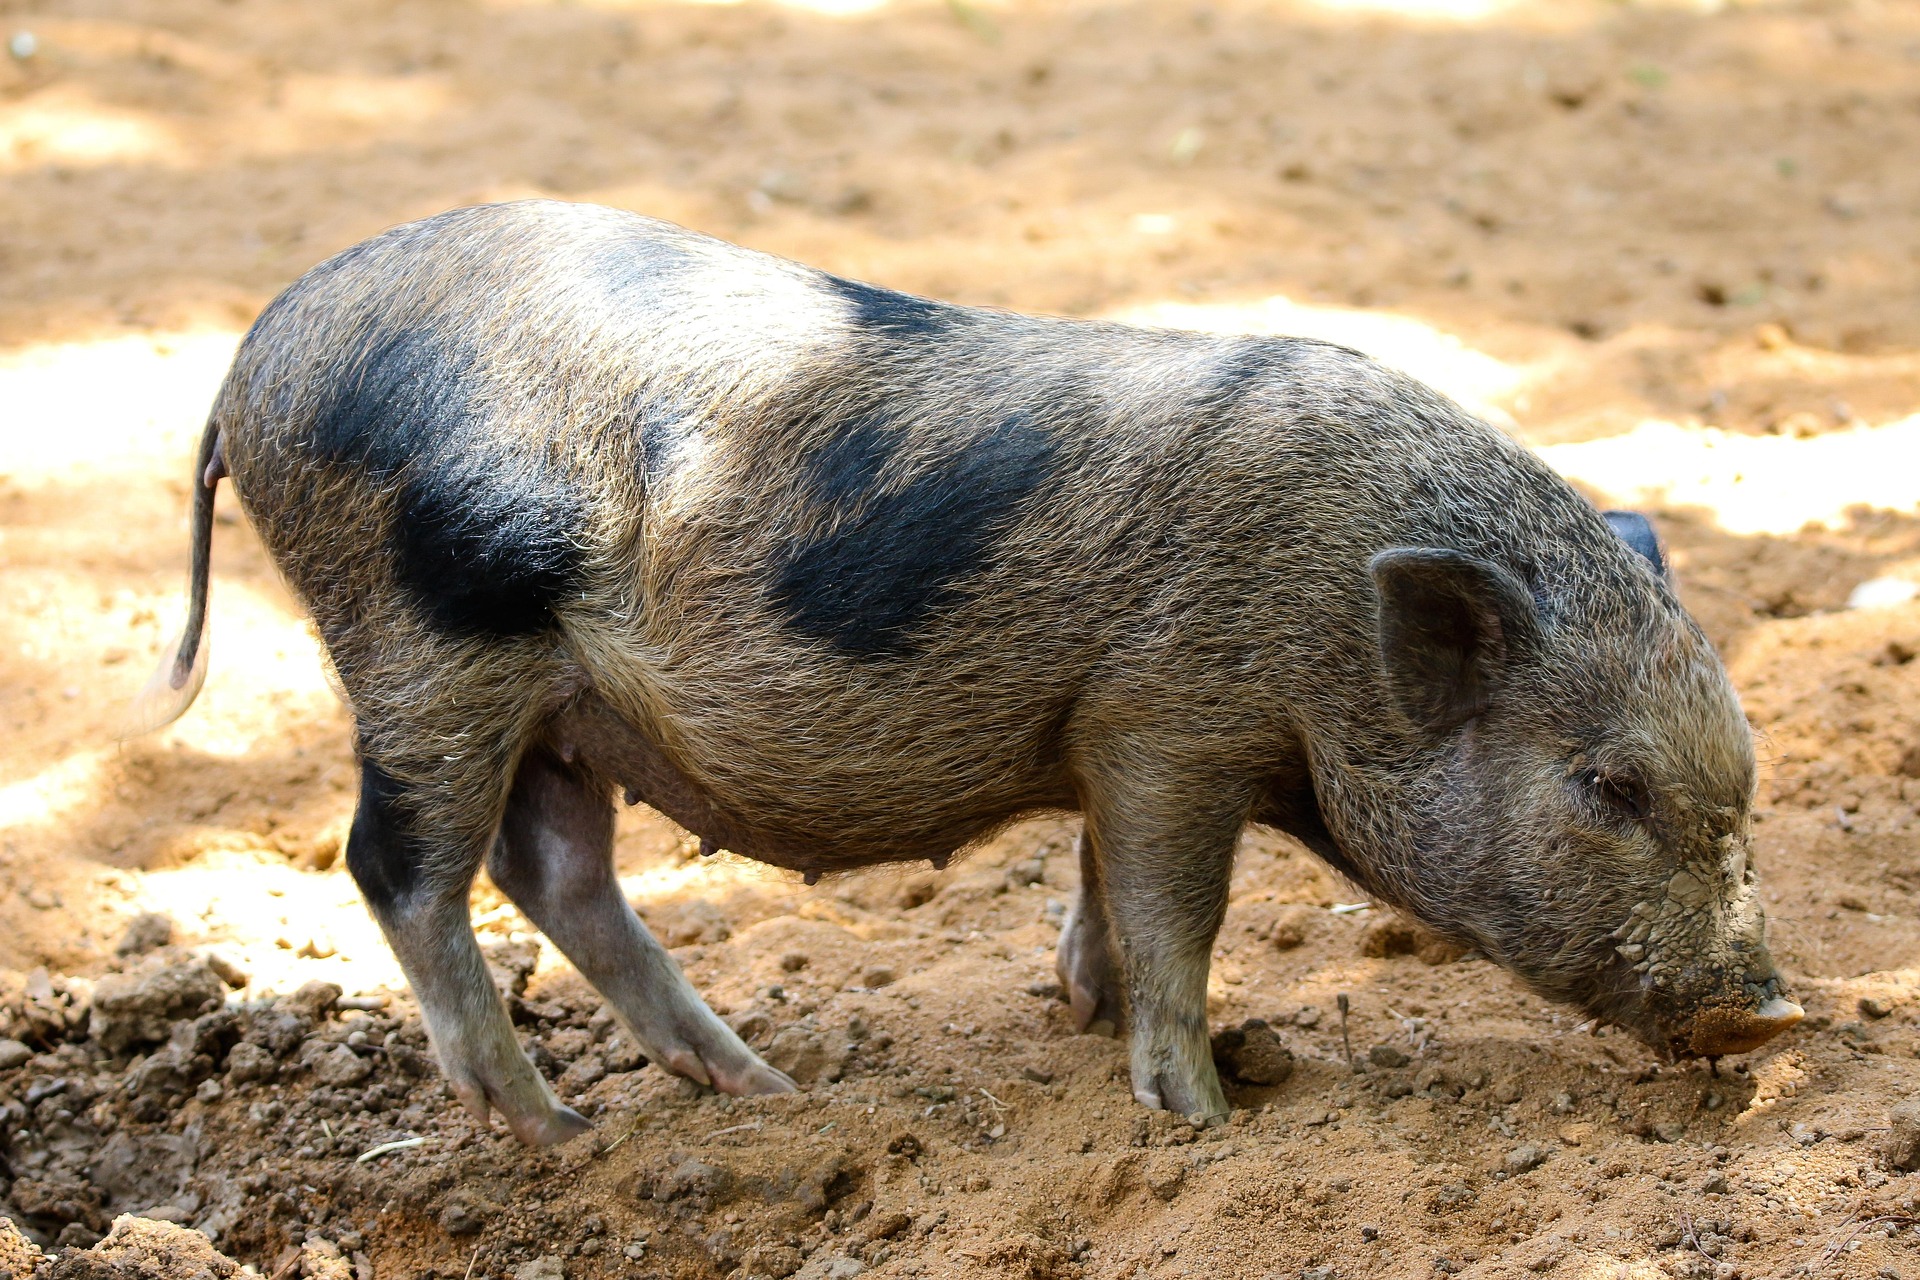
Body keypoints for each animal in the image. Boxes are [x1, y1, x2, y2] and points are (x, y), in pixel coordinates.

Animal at [136, 200, 1801, 1144]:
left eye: (1743, 797)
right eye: (1607, 782)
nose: (1774, 1015)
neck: (1331, 608)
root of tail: (254, 358)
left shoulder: (1117, 739)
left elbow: (1102, 885)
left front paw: (1091, 1016)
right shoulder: (1171, 723)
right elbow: (1173, 908)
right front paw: (1200, 1115)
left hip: (561, 705)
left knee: (556, 871)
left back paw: (759, 1093)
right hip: (429, 642)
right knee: (400, 865)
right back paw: (552, 1131)